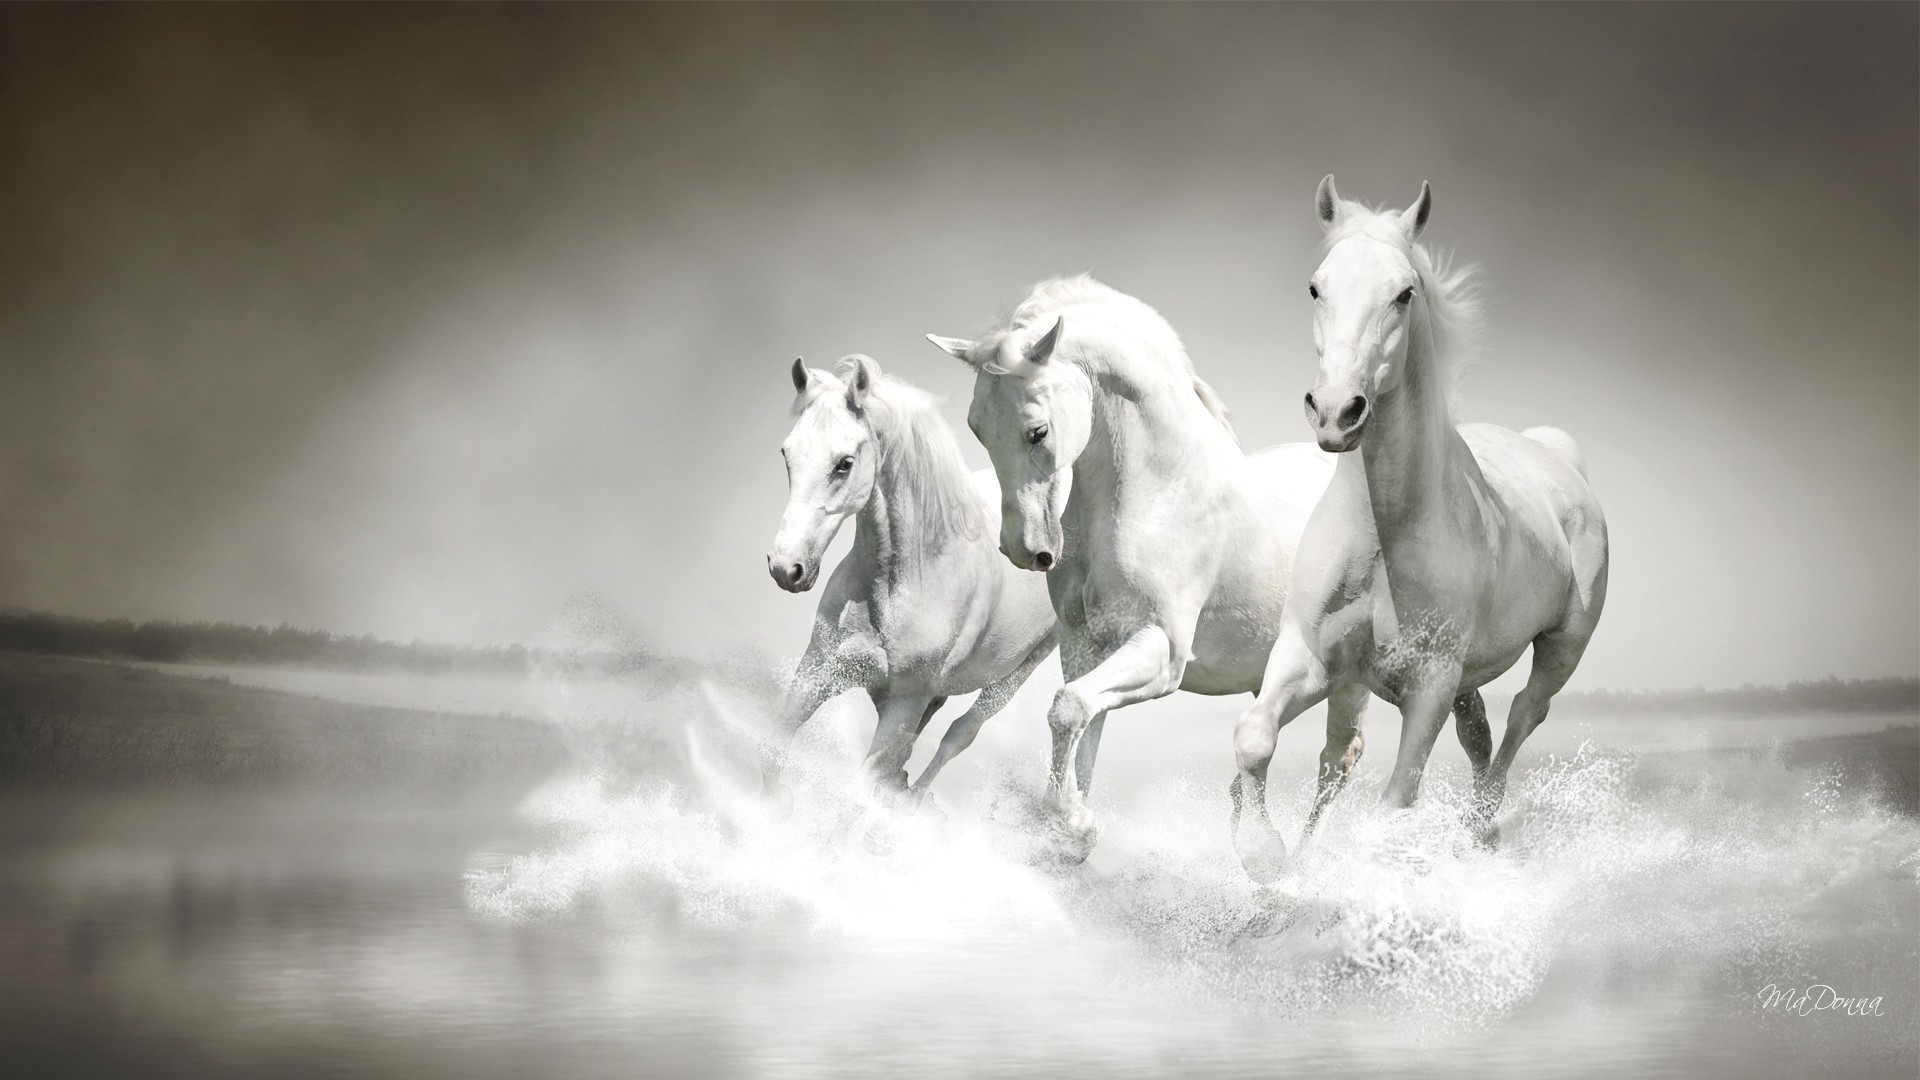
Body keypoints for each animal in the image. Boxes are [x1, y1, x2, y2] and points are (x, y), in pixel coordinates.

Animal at [764, 354, 1058, 808]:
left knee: (959, 735)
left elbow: (855, 795)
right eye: (786, 453)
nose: (786, 568)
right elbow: (772, 753)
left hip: (1017, 673)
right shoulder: (819, 669)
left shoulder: (904, 704)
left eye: (844, 463)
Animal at [927, 276, 1357, 862]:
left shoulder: (1162, 650)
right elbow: (1082, 725)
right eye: (976, 428)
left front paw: (1073, 823)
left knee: (1340, 759)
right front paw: (1071, 828)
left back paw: (1291, 865)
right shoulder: (1087, 646)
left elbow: (1067, 710)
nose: (1025, 550)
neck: (1159, 492)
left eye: (1037, 431)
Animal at [1229, 177, 1610, 882]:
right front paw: (1266, 858)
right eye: (1316, 287)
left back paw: (1480, 827)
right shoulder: (1310, 657)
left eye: (1404, 293)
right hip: (1465, 679)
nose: (1336, 412)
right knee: (1476, 732)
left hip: (1562, 645)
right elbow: (1255, 736)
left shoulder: (1428, 686)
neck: (1384, 534)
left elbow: (1396, 799)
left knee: (1525, 714)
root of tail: (1558, 458)